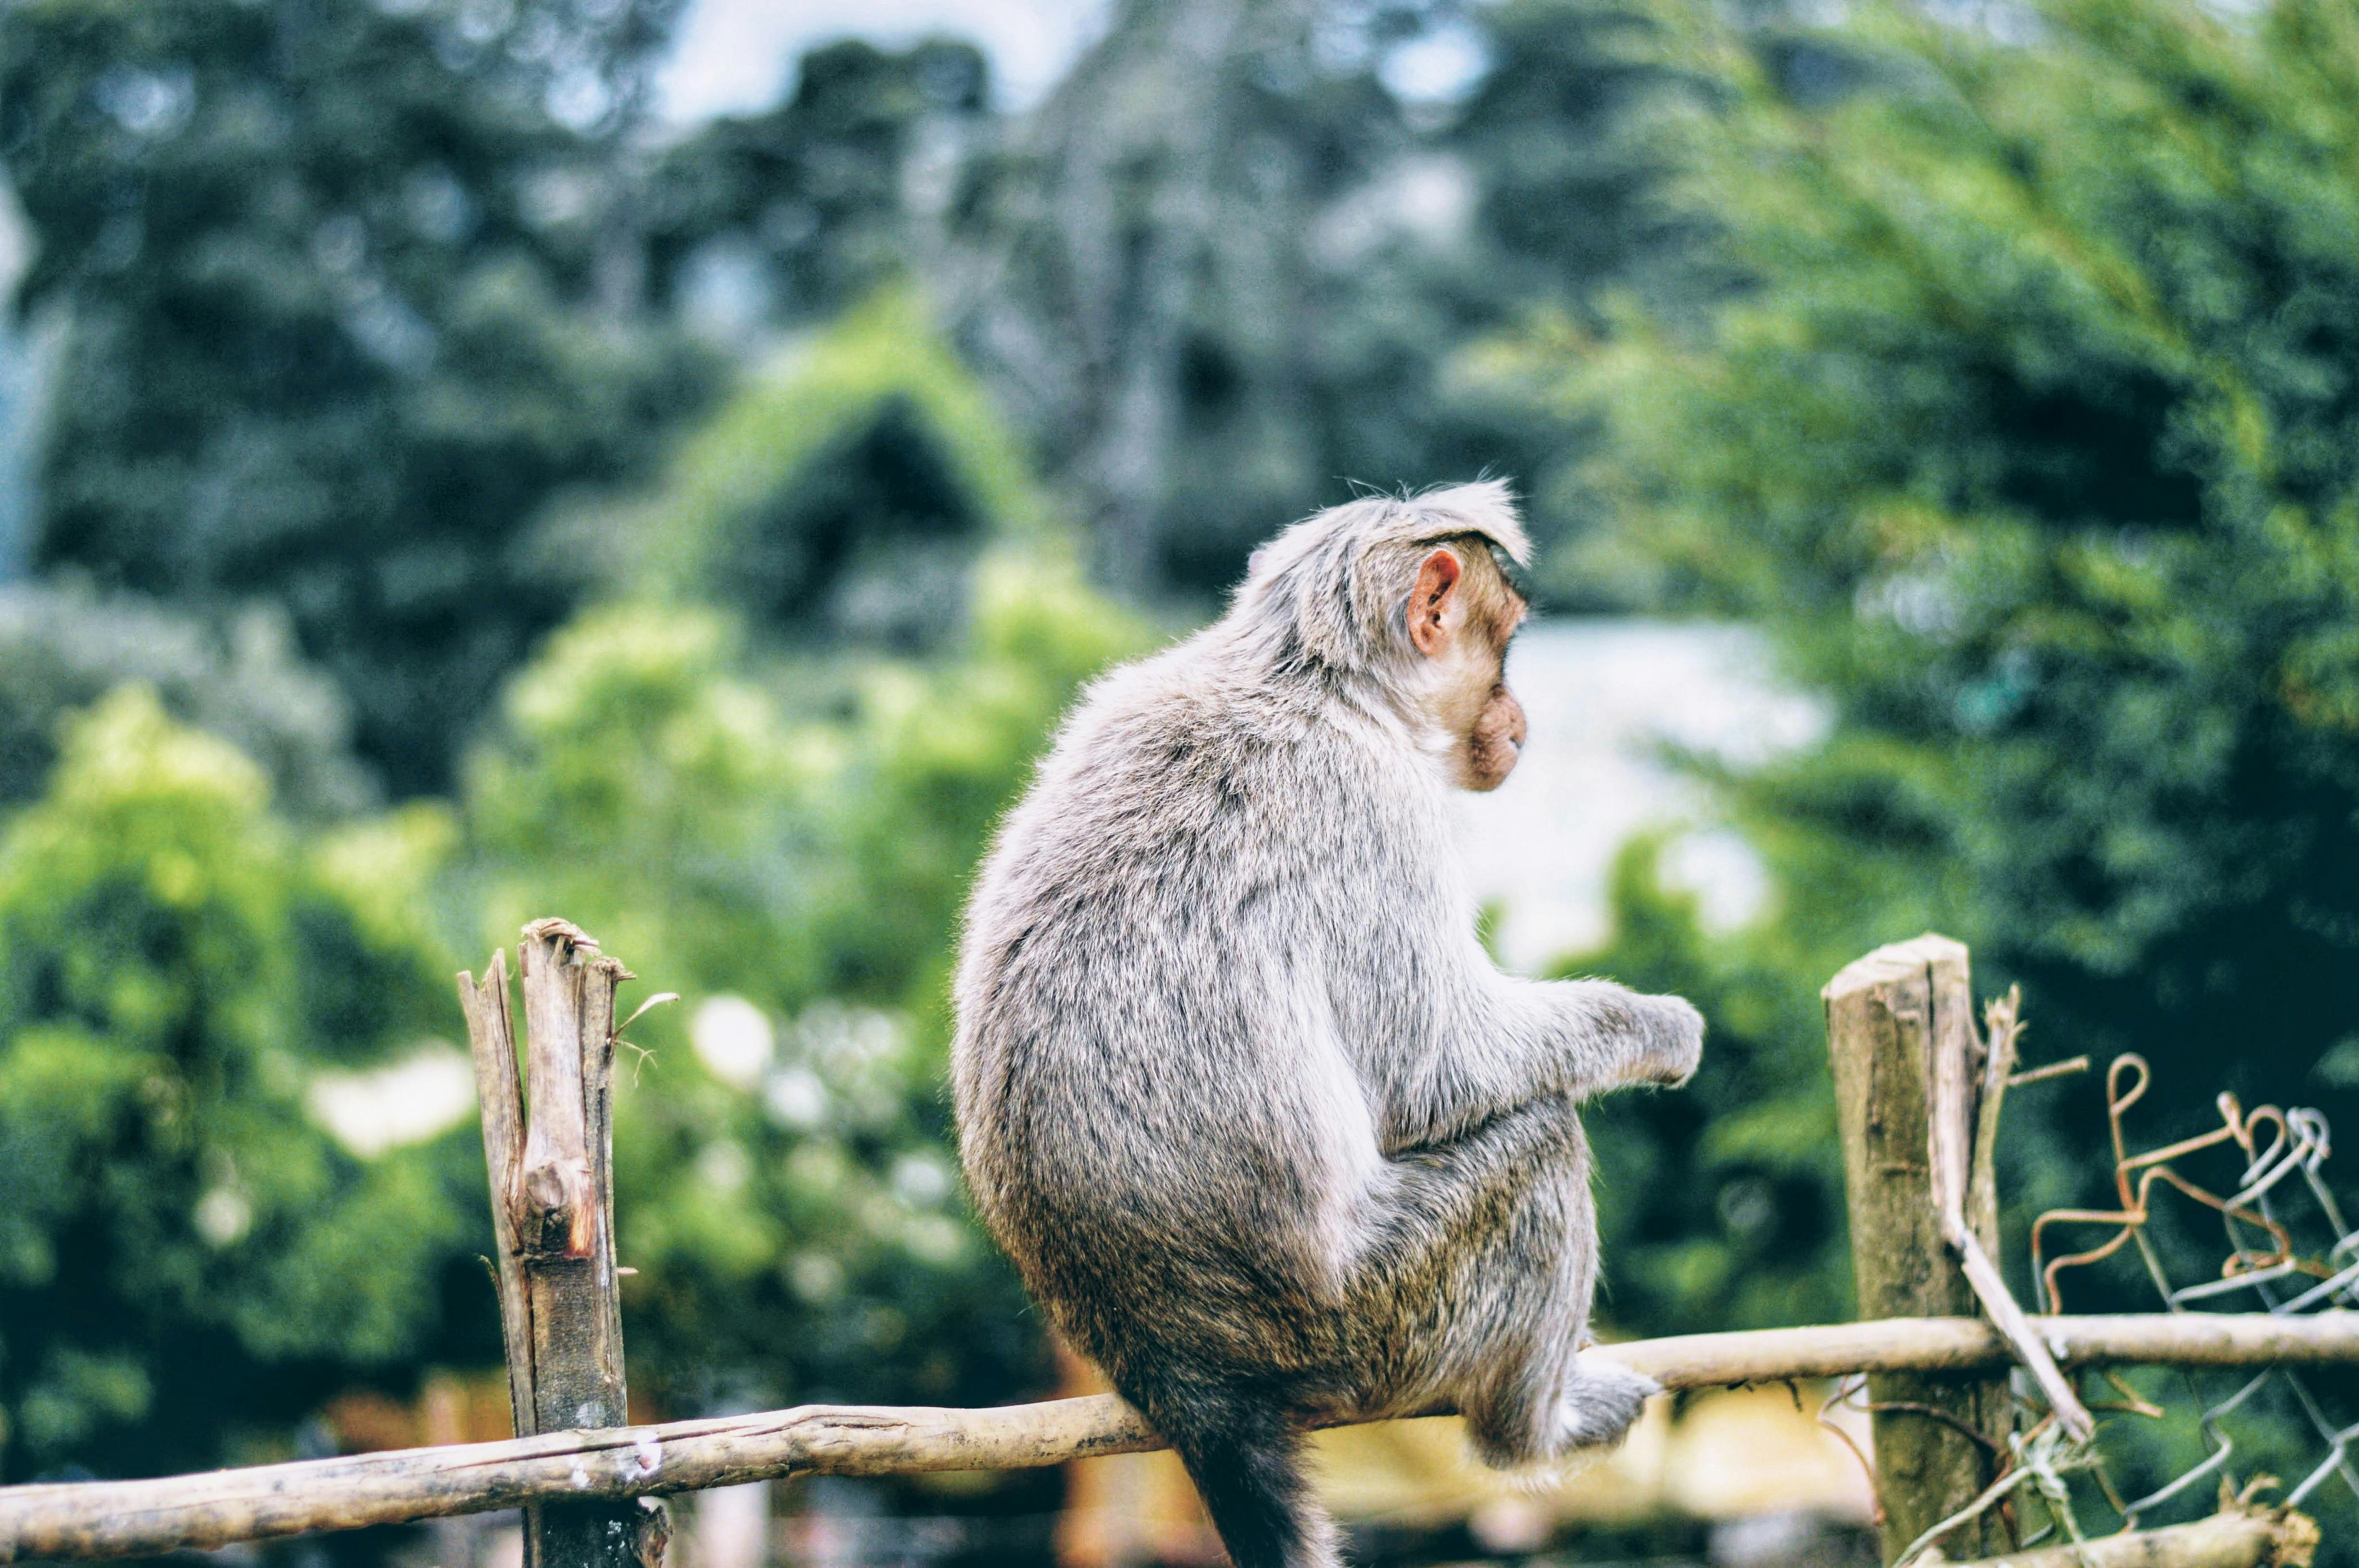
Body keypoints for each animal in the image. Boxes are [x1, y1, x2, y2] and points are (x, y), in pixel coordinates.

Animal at [948, 483, 1708, 1565]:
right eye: (1507, 647)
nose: (1520, 718)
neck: (1313, 682)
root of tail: (1181, 1370)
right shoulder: (1376, 807)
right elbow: (1438, 1066)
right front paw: (1656, 1024)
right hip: (1372, 1310)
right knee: (1536, 1143)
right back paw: (1531, 1429)